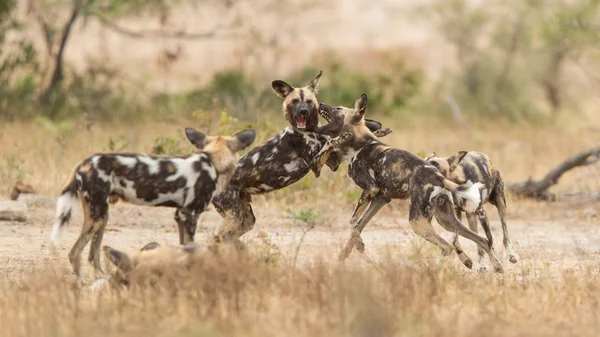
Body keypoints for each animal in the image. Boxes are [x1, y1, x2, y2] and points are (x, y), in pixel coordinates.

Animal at [51, 127, 255, 280]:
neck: (213, 162)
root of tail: (82, 163)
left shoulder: (180, 215)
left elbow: (183, 247)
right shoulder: (189, 214)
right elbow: (192, 247)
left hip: (102, 215)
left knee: (92, 255)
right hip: (97, 214)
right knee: (74, 253)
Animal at [211, 71, 390, 242]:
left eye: (309, 102)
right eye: (295, 101)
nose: (303, 111)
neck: (310, 131)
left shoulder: (332, 162)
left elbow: (348, 134)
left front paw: (377, 129)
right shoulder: (317, 164)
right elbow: (331, 141)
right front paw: (347, 135)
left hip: (245, 220)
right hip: (234, 217)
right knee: (215, 239)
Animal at [314, 93, 506, 272]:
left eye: (337, 109)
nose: (320, 103)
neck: (359, 143)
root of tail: (437, 175)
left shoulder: (370, 189)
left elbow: (352, 221)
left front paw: (358, 246)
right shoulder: (381, 198)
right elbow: (358, 226)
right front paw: (345, 254)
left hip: (417, 221)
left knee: (447, 246)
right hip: (445, 220)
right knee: (483, 240)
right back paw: (495, 266)